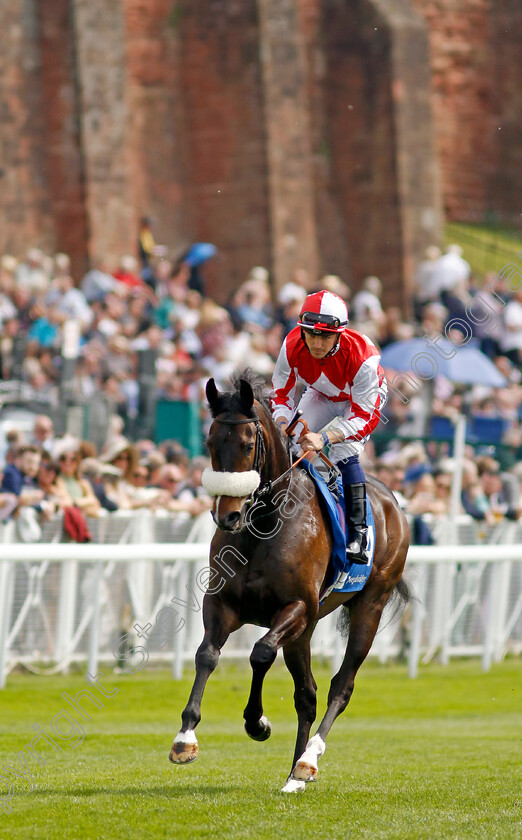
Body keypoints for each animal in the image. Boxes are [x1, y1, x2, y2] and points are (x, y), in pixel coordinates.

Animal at [169, 370, 408, 792]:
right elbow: (207, 655)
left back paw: (308, 760)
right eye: (210, 442)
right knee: (307, 693)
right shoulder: (223, 603)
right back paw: (293, 774)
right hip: (306, 631)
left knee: (340, 687)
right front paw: (185, 738)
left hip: (368, 606)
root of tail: (394, 503)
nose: (227, 516)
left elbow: (261, 653)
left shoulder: (295, 607)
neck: (265, 524)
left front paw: (257, 722)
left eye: (248, 444)